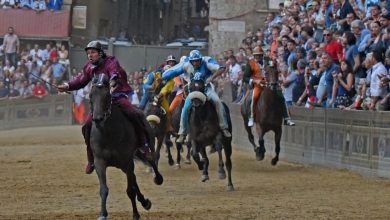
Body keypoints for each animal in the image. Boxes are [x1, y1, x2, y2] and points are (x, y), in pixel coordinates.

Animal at [89, 74, 163, 220]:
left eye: (107, 95)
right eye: (90, 96)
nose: (98, 119)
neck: (109, 134)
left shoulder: (127, 162)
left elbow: (130, 190)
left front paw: (135, 214)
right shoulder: (100, 162)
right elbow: (104, 189)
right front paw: (102, 214)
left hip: (147, 146)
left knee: (151, 159)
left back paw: (157, 179)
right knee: (134, 178)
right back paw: (144, 201)